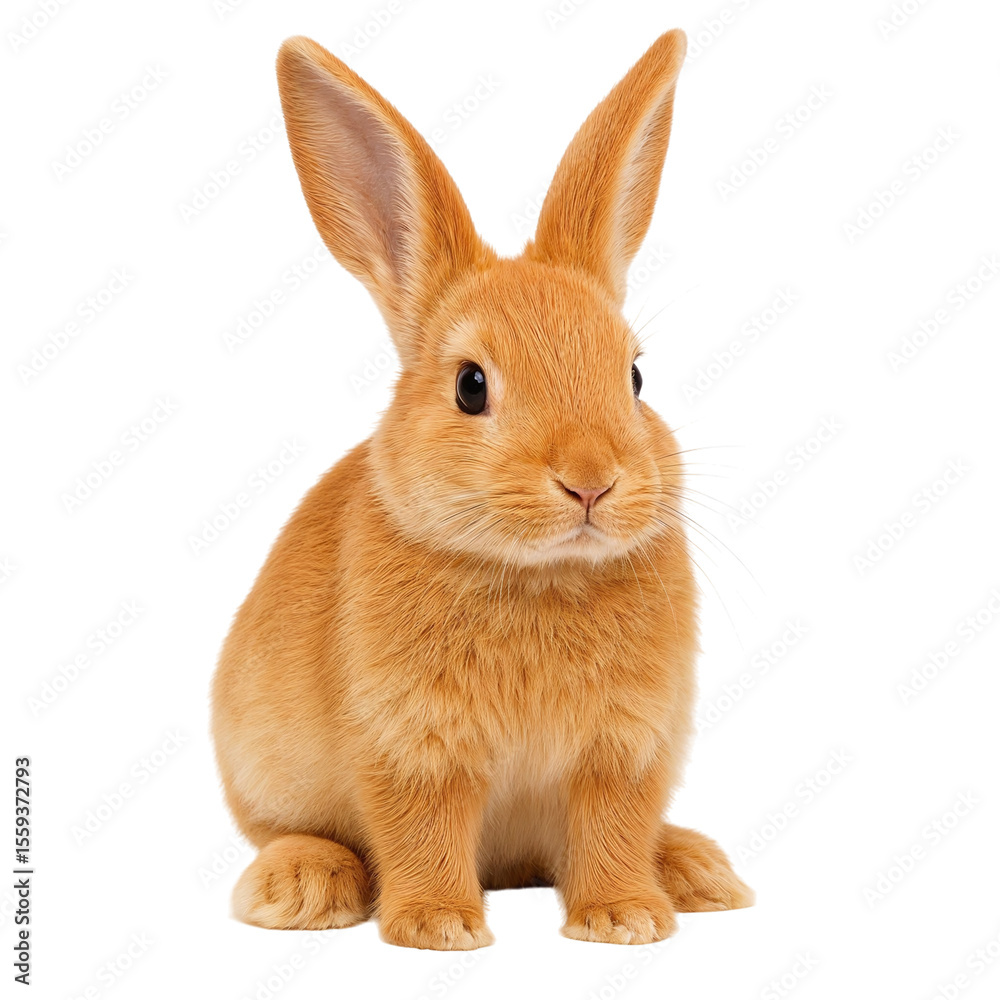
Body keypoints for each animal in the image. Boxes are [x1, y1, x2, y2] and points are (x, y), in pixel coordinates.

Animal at [211, 28, 753, 951]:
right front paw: (439, 927)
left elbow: (613, 827)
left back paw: (693, 871)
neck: (540, 574)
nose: (591, 482)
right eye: (471, 386)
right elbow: (421, 830)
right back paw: (301, 888)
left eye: (635, 377)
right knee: (293, 832)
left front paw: (625, 918)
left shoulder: (625, 748)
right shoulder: (409, 745)